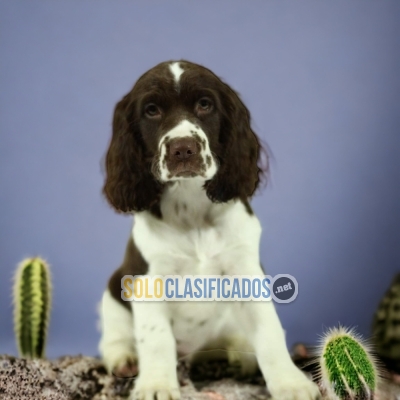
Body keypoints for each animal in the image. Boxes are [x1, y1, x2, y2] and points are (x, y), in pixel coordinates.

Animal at [98, 60, 320, 400]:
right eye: (151, 110)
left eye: (205, 105)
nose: (183, 149)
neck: (192, 212)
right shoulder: (147, 280)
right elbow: (157, 339)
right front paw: (156, 385)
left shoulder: (246, 272)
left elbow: (269, 331)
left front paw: (290, 383)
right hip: (113, 291)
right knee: (115, 335)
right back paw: (125, 359)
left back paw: (240, 354)